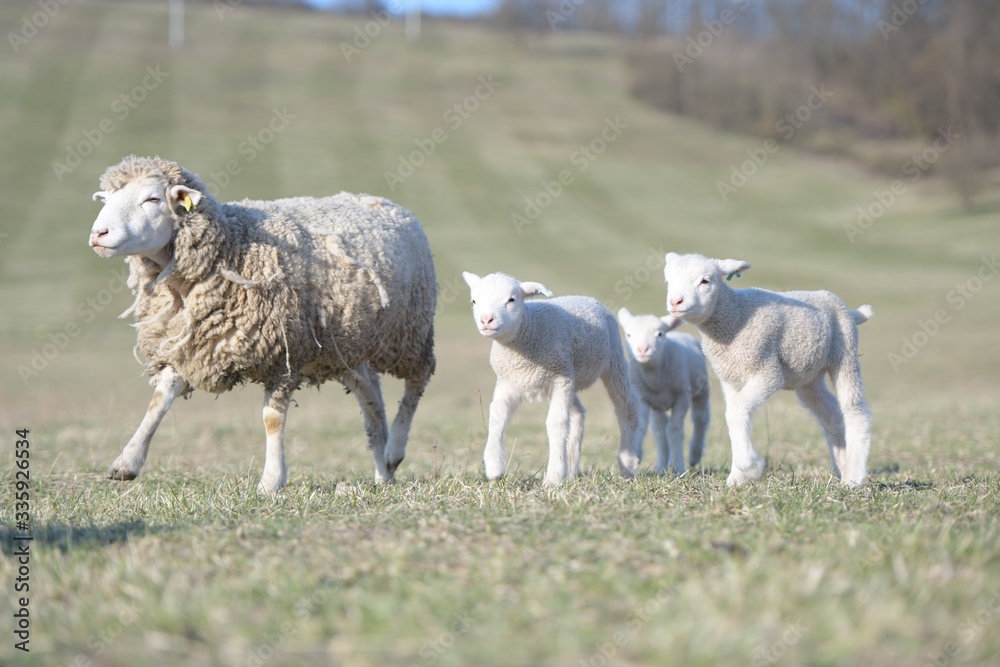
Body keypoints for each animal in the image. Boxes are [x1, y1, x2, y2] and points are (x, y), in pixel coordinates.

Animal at [87, 155, 437, 492]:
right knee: (371, 396)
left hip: (410, 332)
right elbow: (159, 401)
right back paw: (384, 470)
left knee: (417, 382)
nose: (97, 234)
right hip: (347, 347)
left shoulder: (285, 353)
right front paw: (127, 462)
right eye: (108, 199)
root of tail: (383, 201)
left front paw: (271, 481)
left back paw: (395, 449)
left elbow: (272, 419)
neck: (229, 249)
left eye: (152, 198)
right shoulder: (189, 346)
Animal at [461, 272, 641, 487]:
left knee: (626, 408)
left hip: (612, 361)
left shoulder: (559, 380)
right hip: (570, 378)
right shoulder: (507, 382)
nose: (486, 320)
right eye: (474, 301)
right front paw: (495, 468)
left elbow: (556, 424)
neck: (530, 329)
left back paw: (628, 464)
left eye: (512, 299)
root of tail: (587, 297)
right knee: (578, 414)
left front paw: (553, 477)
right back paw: (570, 471)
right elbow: (497, 417)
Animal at [617, 308, 710, 475]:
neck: (656, 380)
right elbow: (643, 427)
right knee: (660, 430)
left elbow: (674, 429)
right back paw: (661, 466)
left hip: (701, 389)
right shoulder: (642, 398)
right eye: (629, 335)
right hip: (657, 405)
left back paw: (694, 455)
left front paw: (678, 466)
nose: (642, 349)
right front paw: (636, 457)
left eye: (659, 334)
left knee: (701, 418)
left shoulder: (682, 396)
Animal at [663, 252, 873, 487]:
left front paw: (750, 467)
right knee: (832, 416)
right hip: (809, 377)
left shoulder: (766, 371)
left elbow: (736, 412)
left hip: (845, 354)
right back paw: (841, 467)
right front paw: (737, 477)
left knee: (856, 412)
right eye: (668, 282)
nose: (675, 301)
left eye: (705, 281)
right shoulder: (730, 379)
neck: (735, 316)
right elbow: (733, 415)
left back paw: (853, 478)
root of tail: (851, 312)